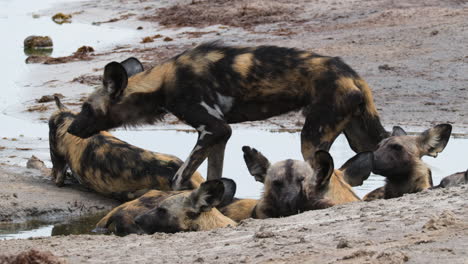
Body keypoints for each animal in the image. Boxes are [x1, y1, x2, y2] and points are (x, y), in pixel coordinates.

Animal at [66, 41, 388, 191]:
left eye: (86, 108)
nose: (71, 128)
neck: (162, 82)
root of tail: (351, 74)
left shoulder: (214, 129)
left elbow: (179, 177)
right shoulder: (218, 137)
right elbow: (214, 176)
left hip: (311, 138)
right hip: (361, 137)